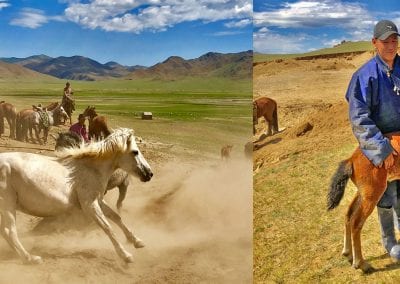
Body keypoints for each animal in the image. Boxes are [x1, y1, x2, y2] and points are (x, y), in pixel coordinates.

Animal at [0, 127, 153, 266]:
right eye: (135, 152)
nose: (149, 174)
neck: (91, 169)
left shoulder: (98, 200)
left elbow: (116, 217)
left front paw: (136, 241)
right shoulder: (89, 205)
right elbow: (107, 227)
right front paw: (125, 255)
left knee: (5, 232)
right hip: (7, 205)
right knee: (10, 232)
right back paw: (30, 258)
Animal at [328, 133, 400, 272]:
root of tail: (351, 159)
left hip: (363, 193)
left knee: (349, 214)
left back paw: (348, 254)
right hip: (372, 194)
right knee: (356, 222)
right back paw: (361, 264)